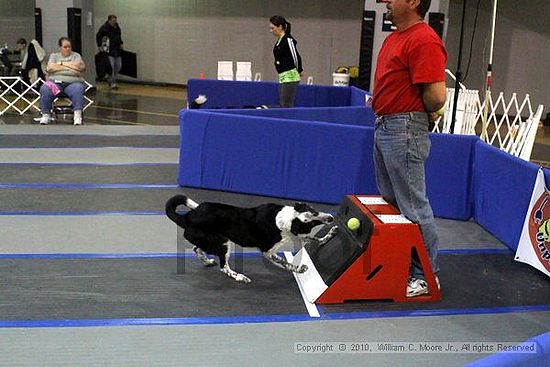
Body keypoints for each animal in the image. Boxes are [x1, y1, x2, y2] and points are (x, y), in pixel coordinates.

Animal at [165, 197, 336, 284]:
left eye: (314, 212)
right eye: (311, 222)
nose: (331, 218)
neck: (284, 218)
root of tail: (187, 217)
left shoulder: (298, 234)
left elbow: (314, 238)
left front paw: (329, 235)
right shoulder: (268, 252)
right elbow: (286, 263)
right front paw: (299, 269)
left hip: (214, 241)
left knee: (197, 249)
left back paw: (207, 261)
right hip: (225, 244)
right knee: (224, 267)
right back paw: (239, 277)